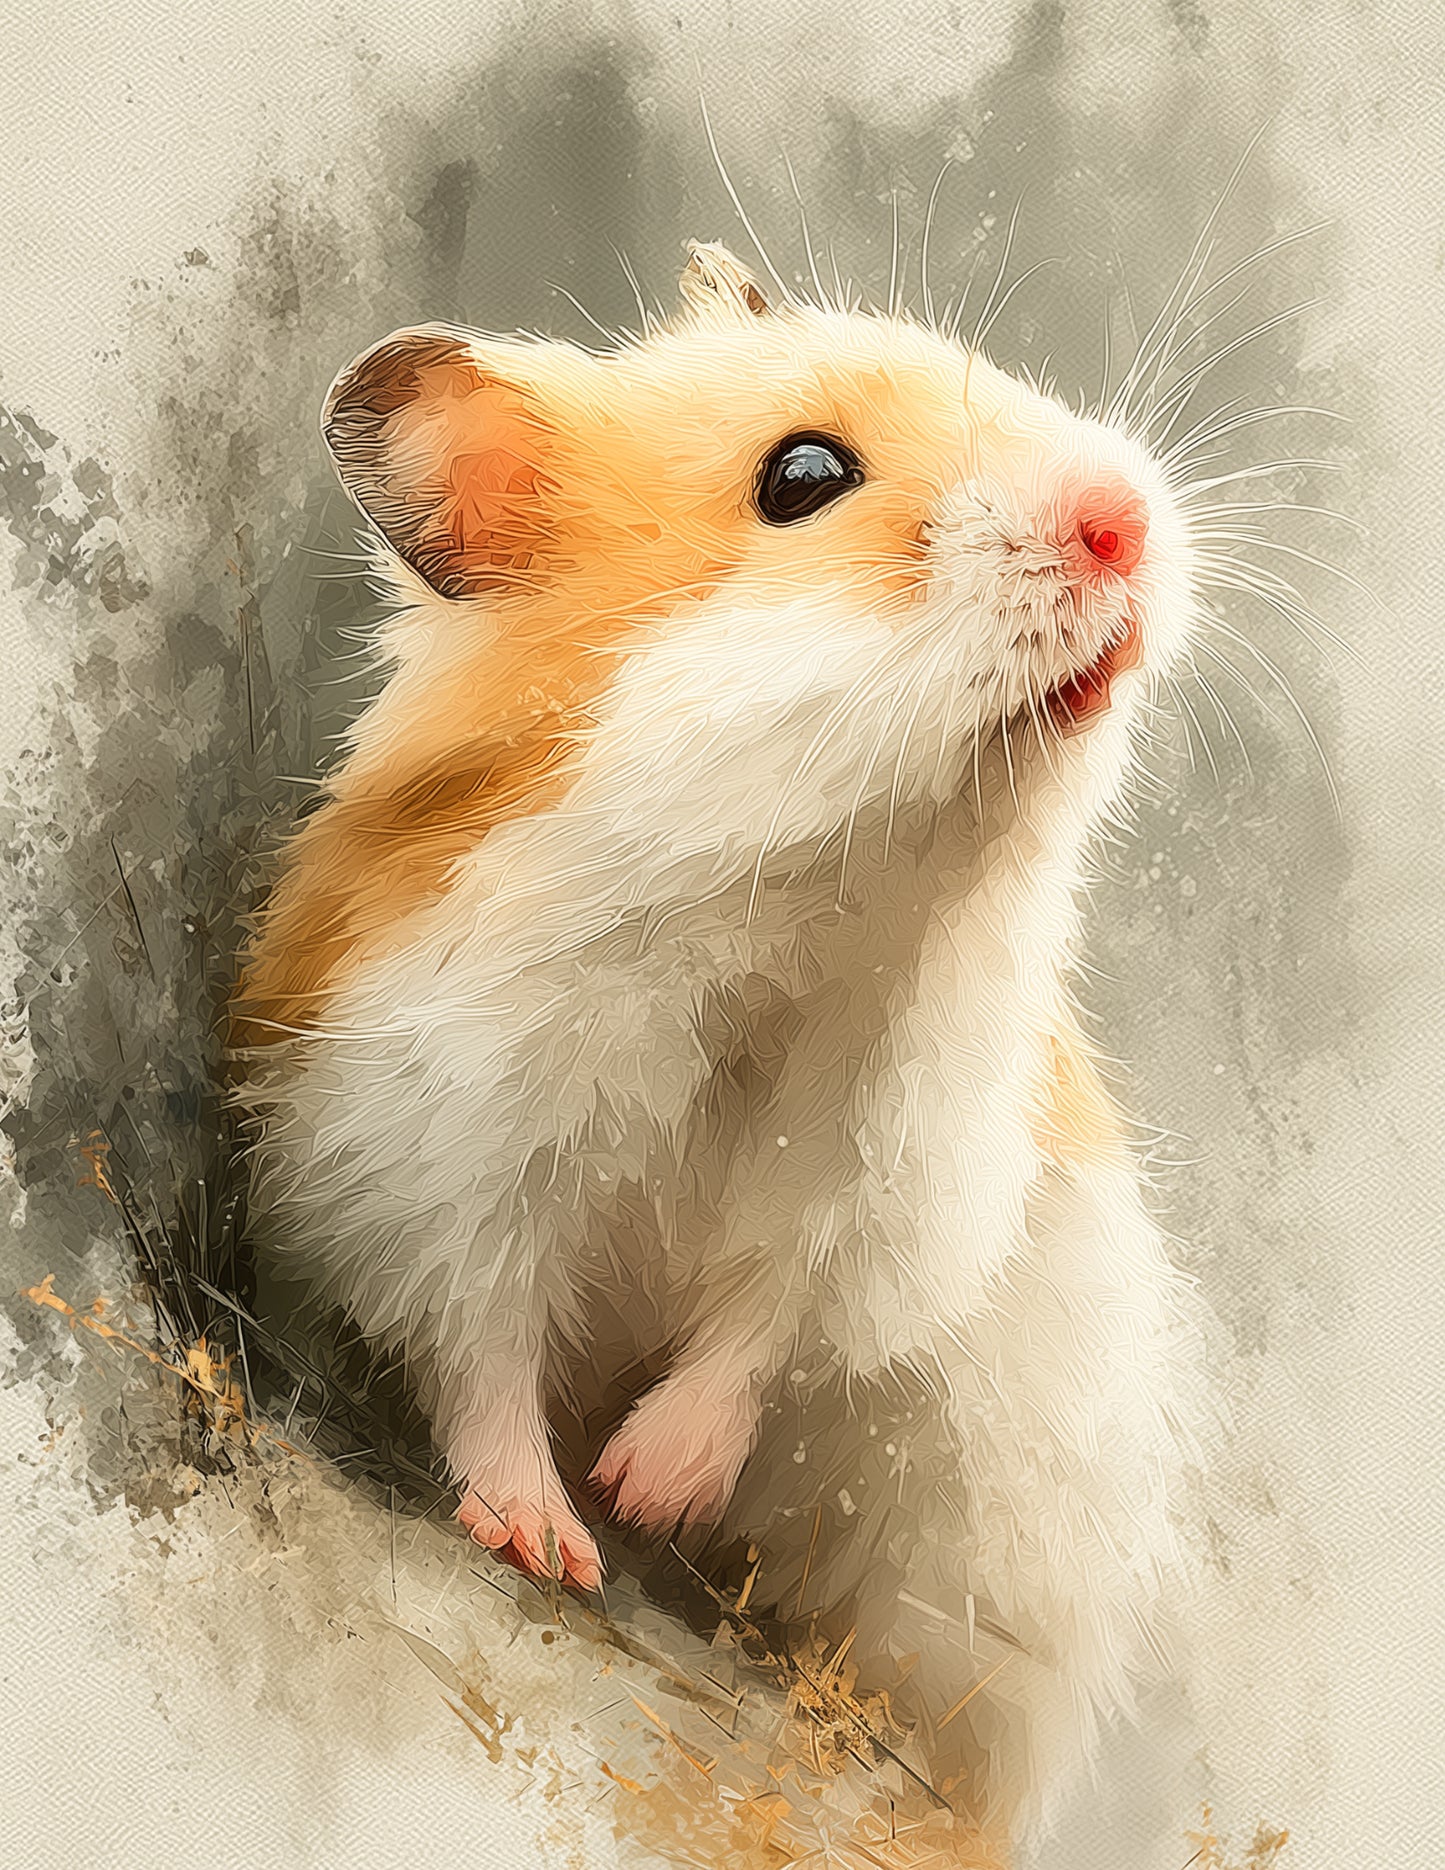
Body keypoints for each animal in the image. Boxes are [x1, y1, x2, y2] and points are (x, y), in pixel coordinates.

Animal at [234, 239, 1203, 1848]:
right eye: (803, 476)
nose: (1124, 519)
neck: (794, 895)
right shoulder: (437, 1143)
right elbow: (480, 1345)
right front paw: (559, 1536)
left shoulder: (897, 1171)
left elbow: (770, 1320)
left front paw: (652, 1487)